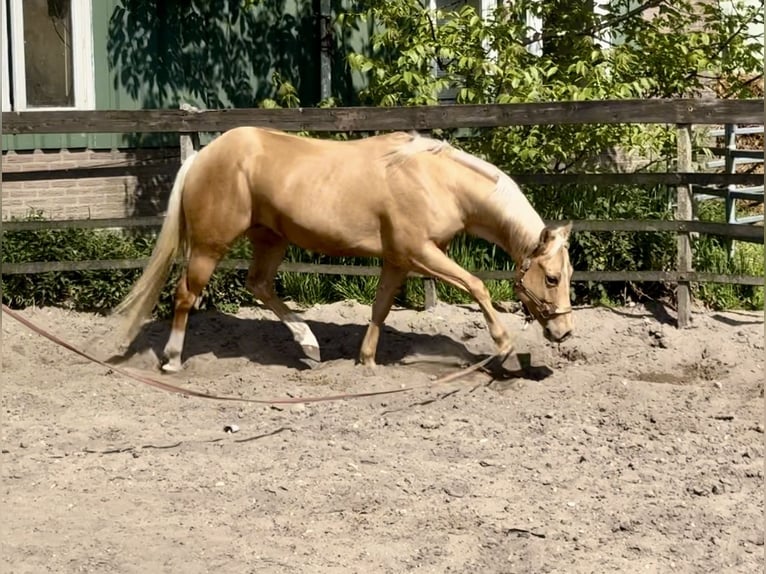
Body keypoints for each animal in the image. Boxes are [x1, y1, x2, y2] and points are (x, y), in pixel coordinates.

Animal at [113, 127, 574, 373]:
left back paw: (309, 345)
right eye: (551, 278)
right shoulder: (423, 253)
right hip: (212, 245)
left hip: (271, 238)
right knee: (186, 294)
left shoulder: (399, 260)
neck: (438, 180)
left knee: (259, 285)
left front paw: (366, 360)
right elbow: (477, 286)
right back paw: (173, 358)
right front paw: (505, 348)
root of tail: (203, 155)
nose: (564, 332)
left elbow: (380, 307)